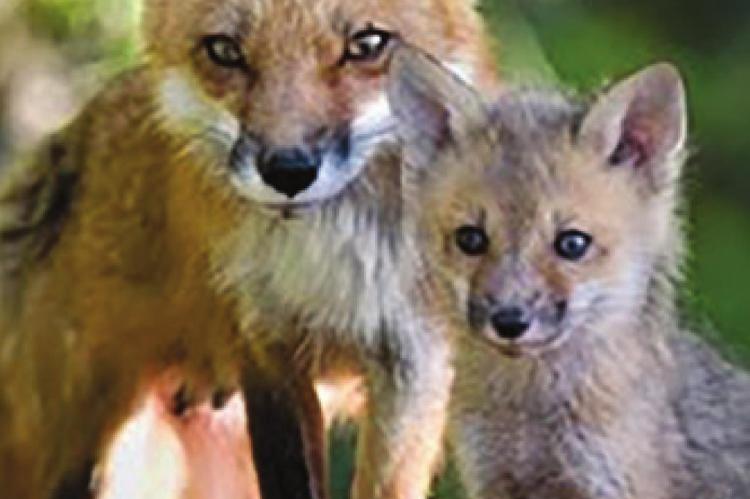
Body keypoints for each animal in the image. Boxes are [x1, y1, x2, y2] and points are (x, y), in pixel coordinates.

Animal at [0, 1, 498, 498]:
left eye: (367, 44)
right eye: (224, 50)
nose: (288, 170)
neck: (325, 275)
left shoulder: (413, 361)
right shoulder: (265, 347)